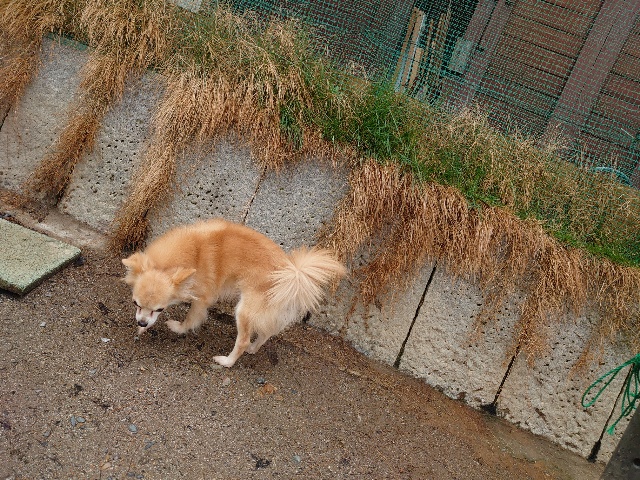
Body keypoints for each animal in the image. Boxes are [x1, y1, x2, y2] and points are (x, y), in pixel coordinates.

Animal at [122, 218, 346, 367]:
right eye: (135, 303)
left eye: (160, 308)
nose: (142, 323)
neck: (193, 252)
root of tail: (292, 273)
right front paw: (142, 328)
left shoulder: (203, 298)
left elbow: (191, 318)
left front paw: (179, 328)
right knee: (266, 332)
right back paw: (253, 349)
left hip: (244, 311)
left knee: (243, 339)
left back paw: (226, 361)